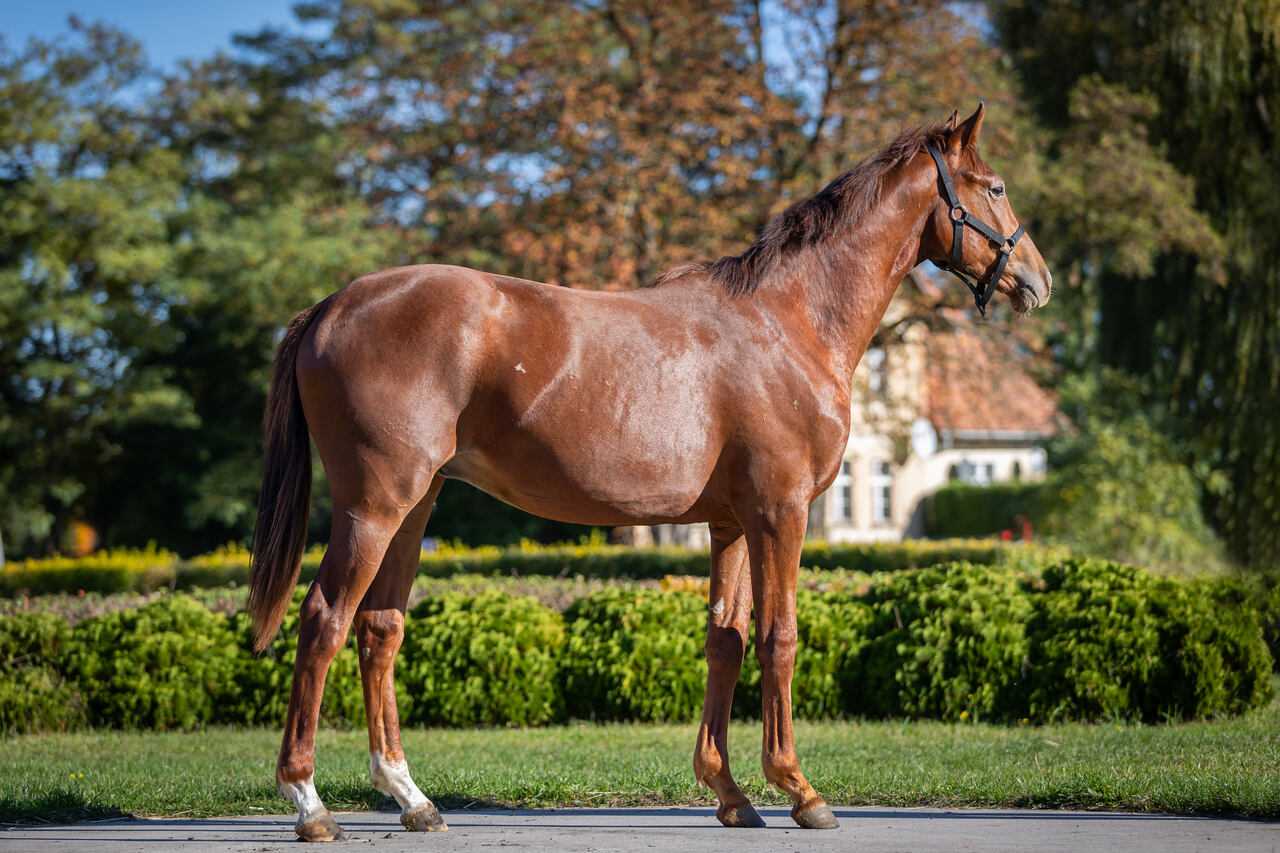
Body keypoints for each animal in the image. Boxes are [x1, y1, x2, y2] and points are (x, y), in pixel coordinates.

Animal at [247, 103, 1051, 841]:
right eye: (996, 187)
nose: (1038, 282)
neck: (787, 320)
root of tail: (332, 304)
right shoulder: (781, 514)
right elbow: (780, 636)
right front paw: (798, 788)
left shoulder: (730, 524)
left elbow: (726, 640)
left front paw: (730, 793)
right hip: (375, 506)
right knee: (324, 619)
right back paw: (309, 801)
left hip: (415, 507)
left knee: (379, 628)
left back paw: (412, 798)